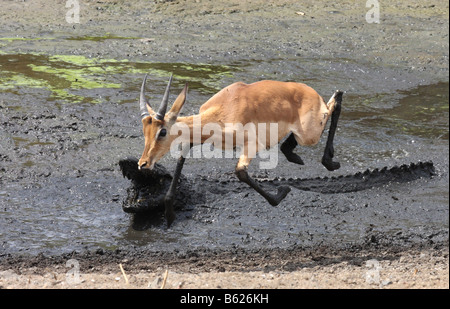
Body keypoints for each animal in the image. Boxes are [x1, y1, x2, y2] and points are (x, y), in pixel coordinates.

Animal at [136, 73, 342, 225]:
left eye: (162, 131)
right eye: (144, 131)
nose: (143, 163)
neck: (224, 110)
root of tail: (310, 92)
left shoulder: (253, 145)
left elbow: (240, 172)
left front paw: (282, 191)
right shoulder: (195, 140)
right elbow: (180, 160)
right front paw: (170, 215)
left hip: (309, 135)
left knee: (336, 99)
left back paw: (331, 162)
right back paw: (295, 156)